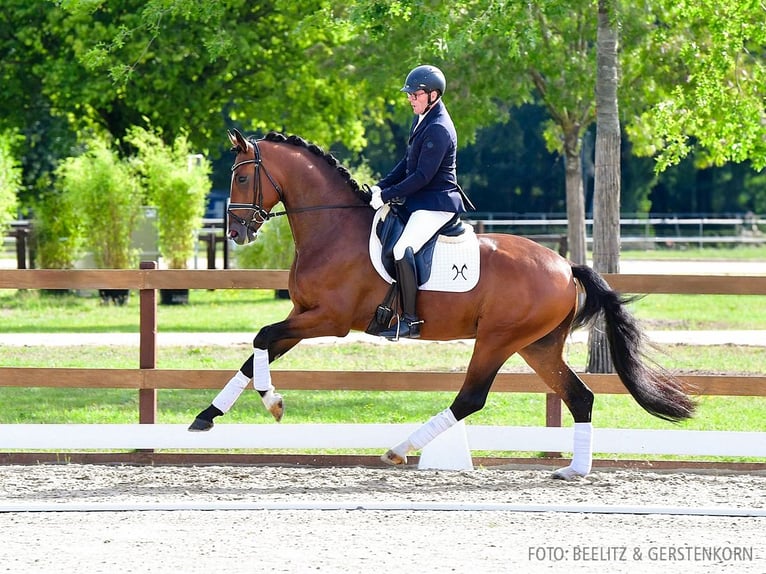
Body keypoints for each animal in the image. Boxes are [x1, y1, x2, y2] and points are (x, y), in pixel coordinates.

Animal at [189, 130, 700, 482]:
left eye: (241, 176)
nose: (236, 232)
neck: (332, 229)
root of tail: (565, 265)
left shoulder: (329, 320)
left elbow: (261, 339)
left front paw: (271, 402)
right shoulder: (303, 316)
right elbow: (257, 351)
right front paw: (207, 417)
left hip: (498, 340)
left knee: (471, 398)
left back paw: (400, 449)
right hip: (538, 346)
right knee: (580, 397)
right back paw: (575, 470)